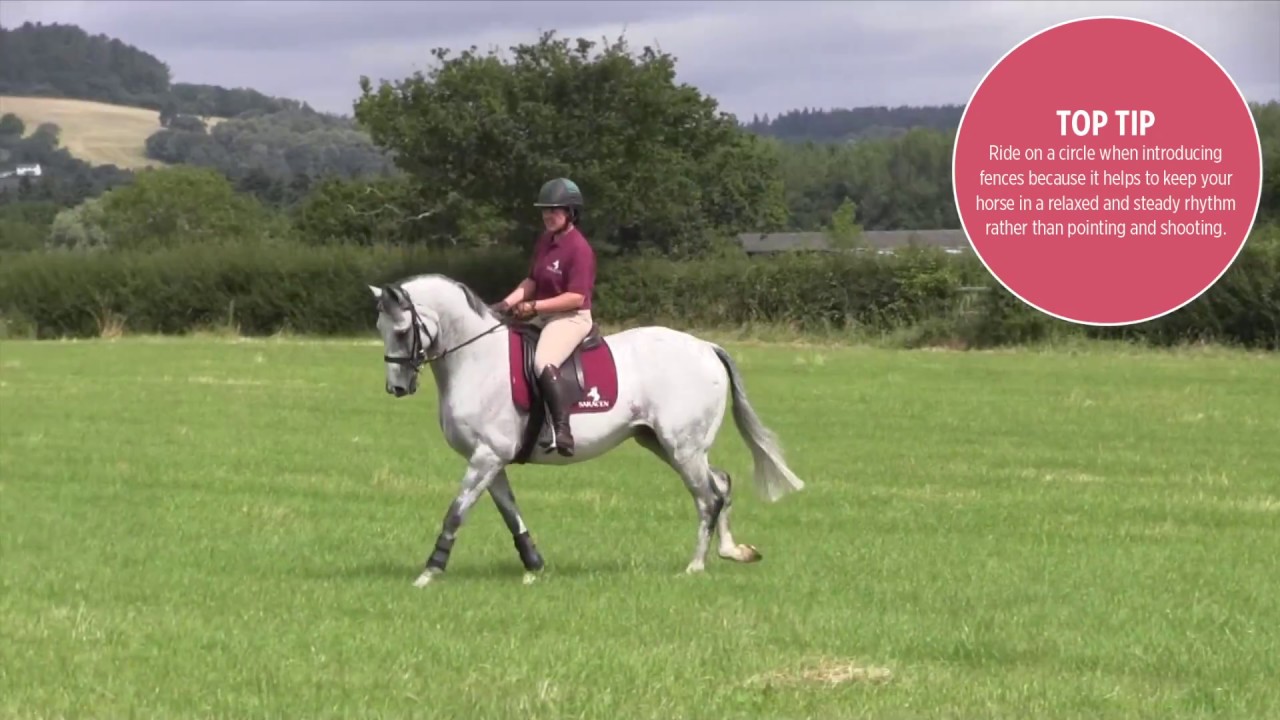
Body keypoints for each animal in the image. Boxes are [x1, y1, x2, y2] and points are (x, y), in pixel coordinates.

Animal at [367, 273, 805, 587]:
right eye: (380, 329)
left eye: (402, 331)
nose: (397, 388)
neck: (476, 360)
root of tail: (706, 348)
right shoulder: (492, 460)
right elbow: (510, 513)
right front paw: (534, 564)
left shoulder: (486, 456)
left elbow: (456, 513)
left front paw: (429, 572)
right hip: (666, 444)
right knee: (722, 483)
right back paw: (734, 552)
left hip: (683, 447)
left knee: (707, 498)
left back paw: (695, 566)